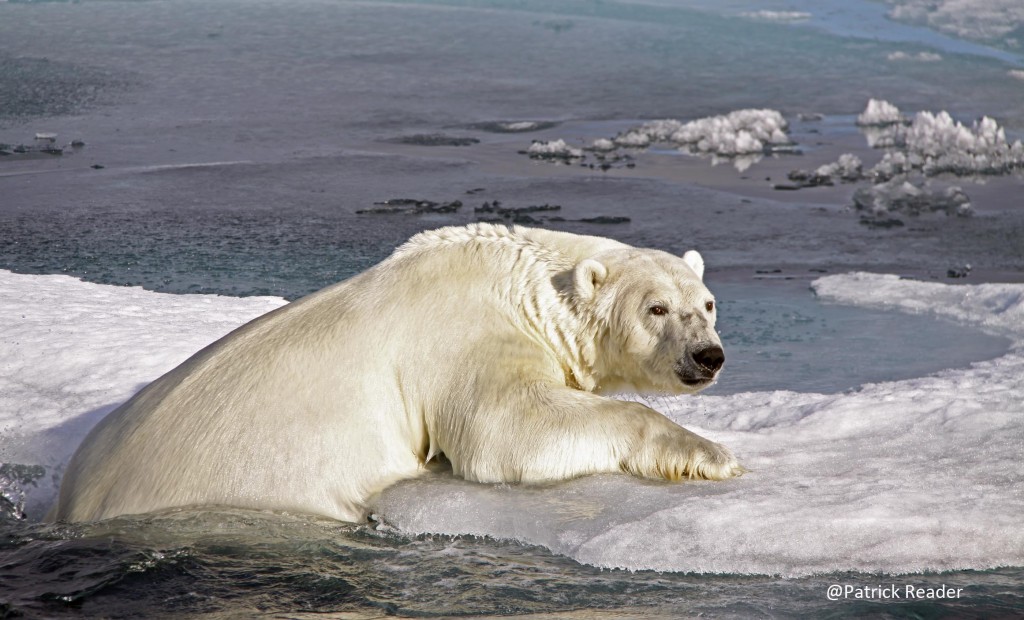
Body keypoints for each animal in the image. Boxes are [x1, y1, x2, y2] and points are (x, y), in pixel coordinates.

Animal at [49, 223, 744, 523]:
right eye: (657, 308)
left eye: (707, 304)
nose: (707, 356)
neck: (520, 282)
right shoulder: (464, 338)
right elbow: (508, 431)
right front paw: (712, 456)